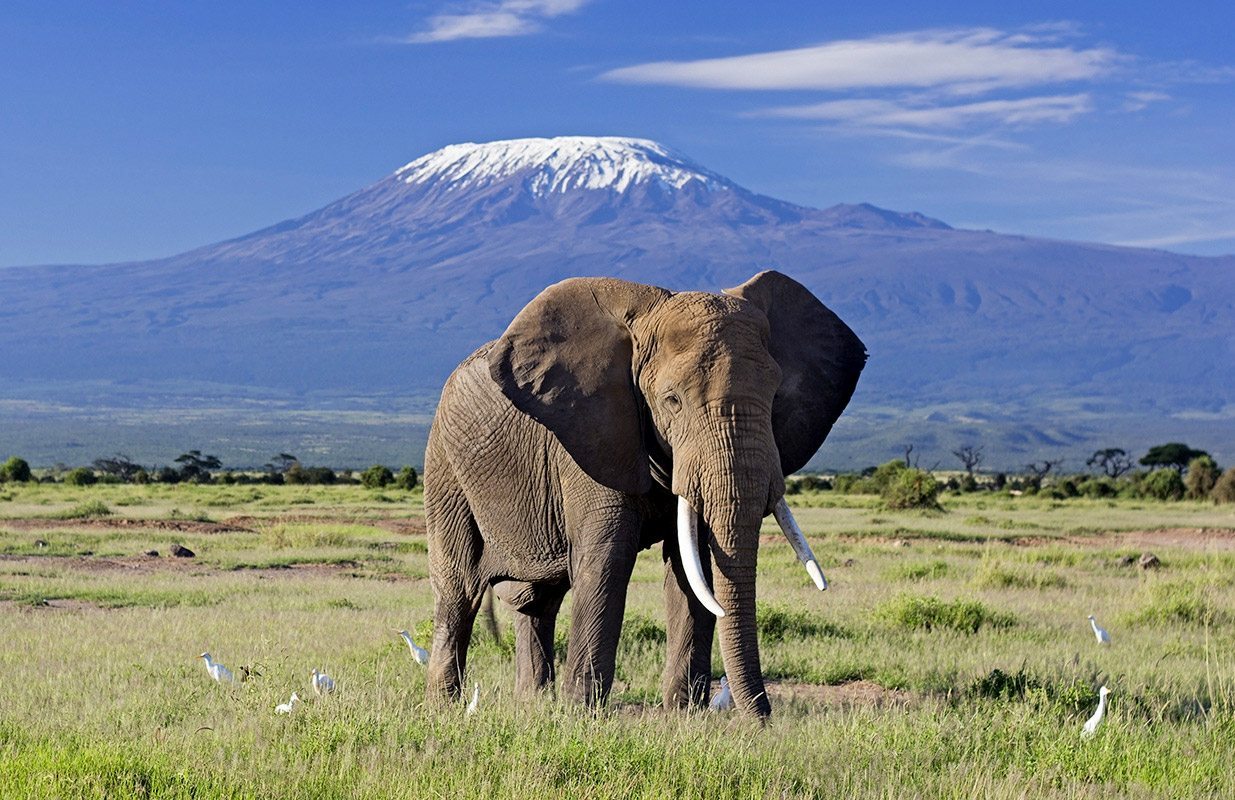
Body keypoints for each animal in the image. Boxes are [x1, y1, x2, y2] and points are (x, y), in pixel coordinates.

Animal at [424, 269, 869, 720]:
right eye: (671, 400)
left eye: (776, 395)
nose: (763, 722)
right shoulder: (591, 437)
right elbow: (608, 560)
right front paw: (583, 716)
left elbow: (694, 568)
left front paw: (685, 717)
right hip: (444, 465)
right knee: (459, 588)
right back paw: (445, 708)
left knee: (539, 602)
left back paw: (533, 704)